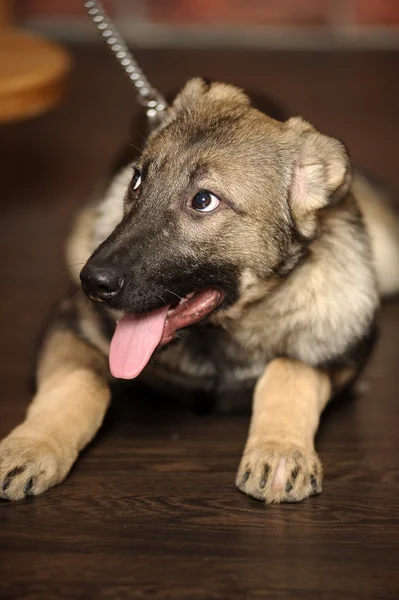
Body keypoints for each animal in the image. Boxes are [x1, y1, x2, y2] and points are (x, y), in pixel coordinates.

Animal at [0, 78, 399, 502]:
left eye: (203, 201)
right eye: (137, 181)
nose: (92, 282)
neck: (221, 335)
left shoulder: (333, 345)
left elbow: (290, 369)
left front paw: (279, 450)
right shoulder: (69, 326)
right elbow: (81, 382)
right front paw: (30, 447)